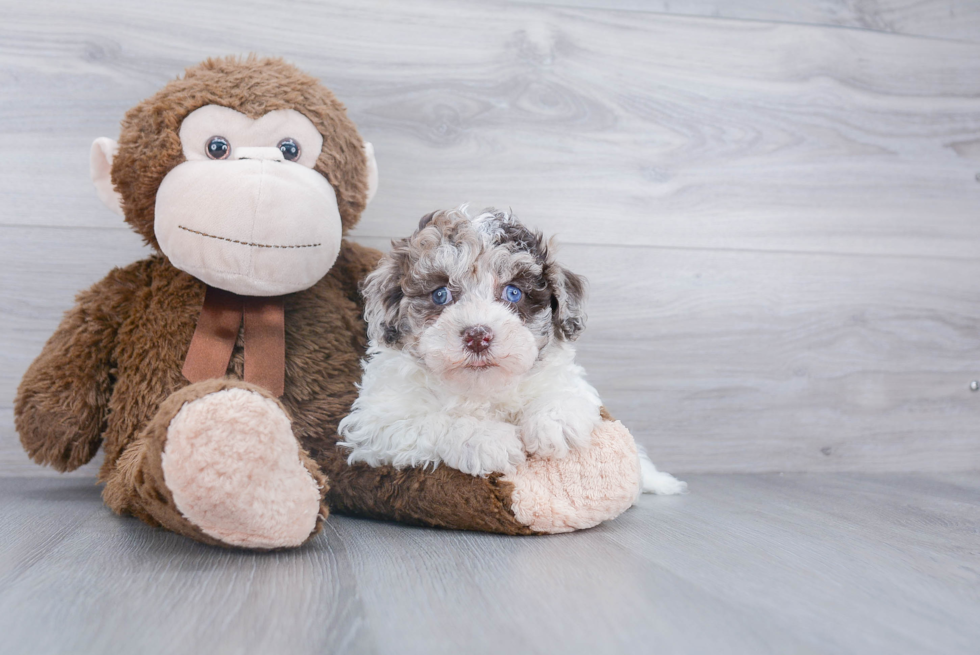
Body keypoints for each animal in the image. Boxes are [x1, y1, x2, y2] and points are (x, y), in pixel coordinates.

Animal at [340, 208, 684, 494]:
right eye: (440, 294)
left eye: (513, 292)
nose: (477, 336)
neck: (481, 390)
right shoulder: (376, 423)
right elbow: (431, 421)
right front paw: (486, 438)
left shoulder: (569, 381)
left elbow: (567, 393)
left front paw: (553, 423)